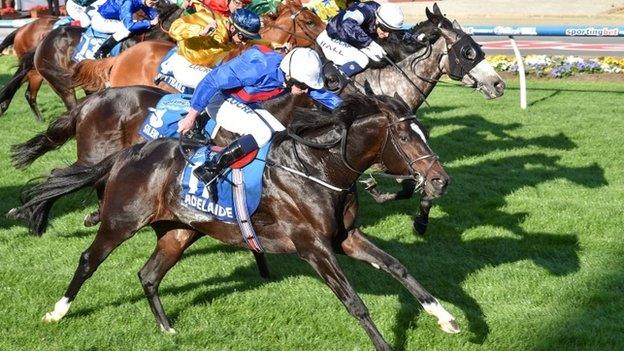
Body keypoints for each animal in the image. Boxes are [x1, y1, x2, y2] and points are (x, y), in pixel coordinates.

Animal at [9, 95, 456, 350]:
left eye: (424, 132)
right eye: (405, 137)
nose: (440, 180)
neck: (317, 168)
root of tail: (126, 154)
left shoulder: (345, 238)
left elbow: (398, 267)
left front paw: (445, 317)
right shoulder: (313, 246)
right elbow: (354, 302)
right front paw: (385, 344)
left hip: (180, 230)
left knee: (148, 274)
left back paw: (168, 330)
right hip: (121, 220)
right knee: (88, 260)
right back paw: (57, 312)